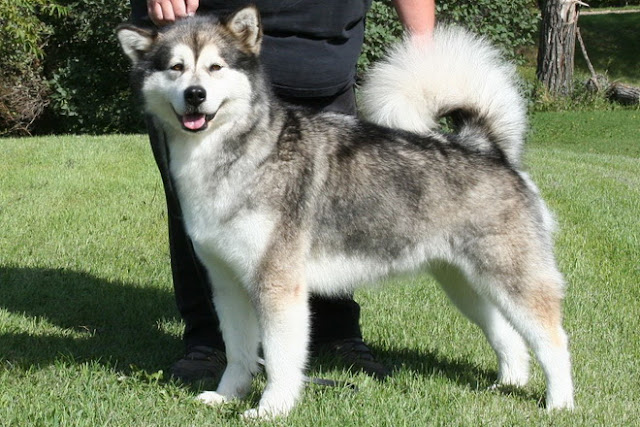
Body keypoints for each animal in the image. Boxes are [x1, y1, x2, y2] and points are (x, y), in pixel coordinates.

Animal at [117, 6, 576, 420]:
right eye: (176, 68)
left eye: (215, 67)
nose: (195, 95)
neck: (229, 156)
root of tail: (486, 148)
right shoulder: (228, 284)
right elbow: (239, 352)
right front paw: (227, 396)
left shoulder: (278, 285)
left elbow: (280, 359)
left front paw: (272, 409)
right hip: (465, 283)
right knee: (508, 335)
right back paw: (509, 383)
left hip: (512, 278)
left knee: (554, 341)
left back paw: (560, 403)